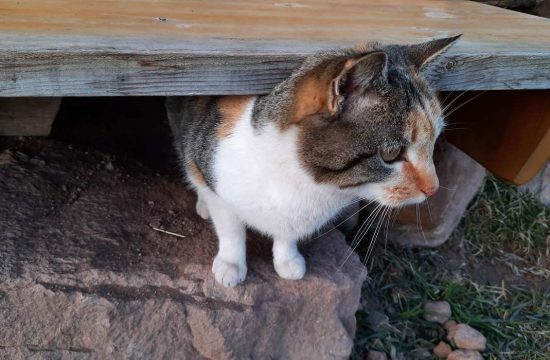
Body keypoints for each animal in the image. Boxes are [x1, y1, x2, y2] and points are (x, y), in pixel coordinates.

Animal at [167, 35, 462, 286]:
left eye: (434, 141)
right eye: (390, 154)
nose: (434, 188)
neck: (312, 185)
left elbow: (286, 235)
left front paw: (287, 259)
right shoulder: (212, 173)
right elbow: (231, 229)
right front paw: (230, 265)